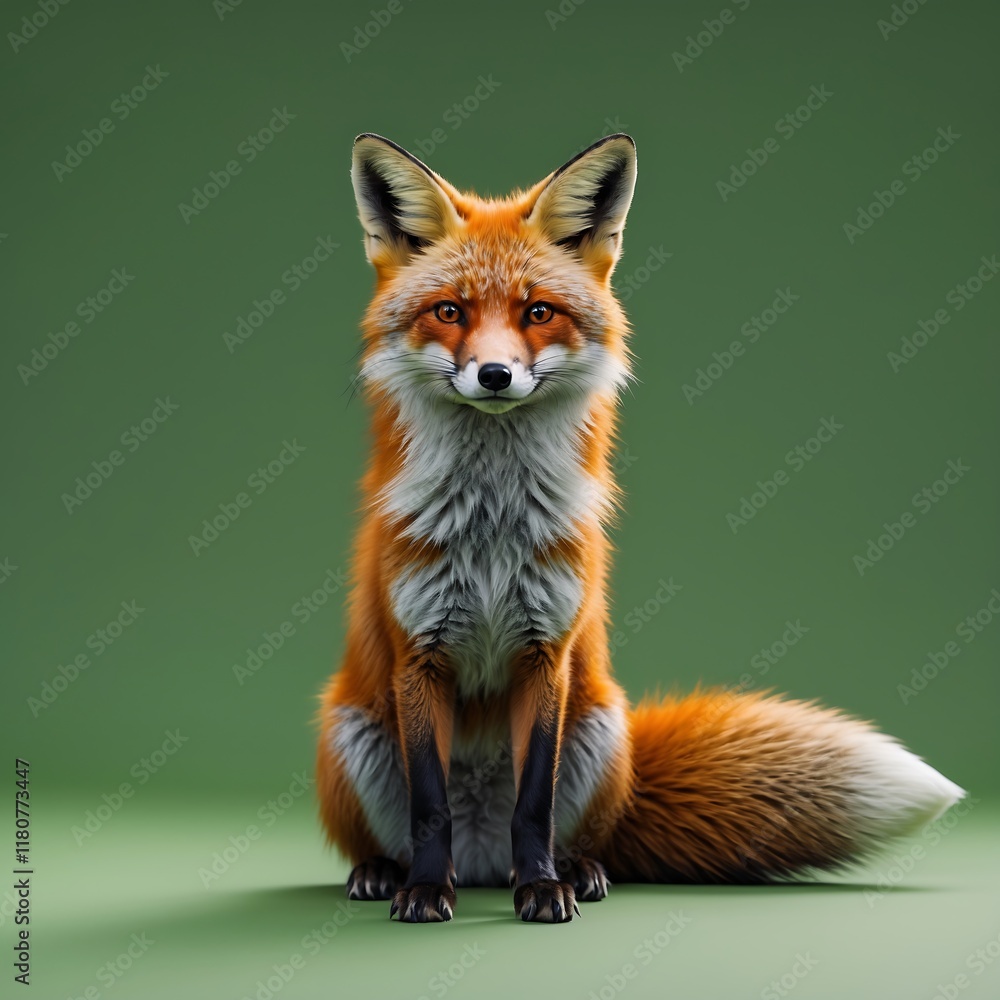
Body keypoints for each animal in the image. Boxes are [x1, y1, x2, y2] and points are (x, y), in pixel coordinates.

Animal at [315, 131, 965, 923]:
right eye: (448, 311)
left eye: (538, 312)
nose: (495, 375)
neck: (492, 527)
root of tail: (483, 858)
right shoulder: (419, 655)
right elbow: (428, 806)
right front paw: (424, 893)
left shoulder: (549, 653)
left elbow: (533, 803)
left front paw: (543, 889)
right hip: (352, 728)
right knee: (407, 831)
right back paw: (386, 872)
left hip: (601, 727)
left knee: (567, 834)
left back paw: (574, 869)